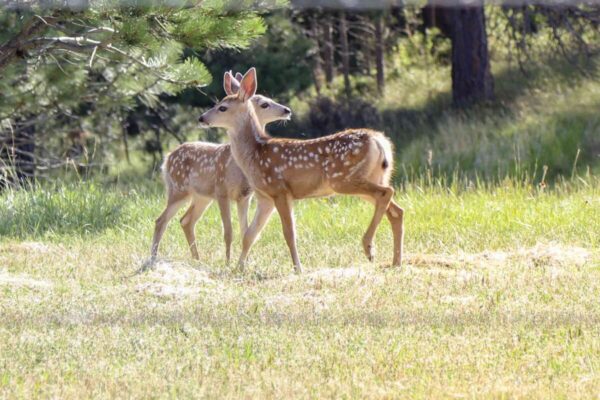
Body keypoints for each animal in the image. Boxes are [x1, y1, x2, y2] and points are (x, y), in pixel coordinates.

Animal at [149, 72, 290, 262]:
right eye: (264, 104)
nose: (287, 110)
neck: (235, 166)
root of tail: (167, 158)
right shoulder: (221, 190)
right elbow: (228, 232)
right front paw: (228, 262)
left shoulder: (244, 196)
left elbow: (244, 231)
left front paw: (245, 261)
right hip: (178, 190)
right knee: (161, 220)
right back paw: (153, 258)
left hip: (201, 197)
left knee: (186, 221)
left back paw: (197, 259)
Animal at [200, 69, 404, 276]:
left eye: (222, 108)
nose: (202, 118)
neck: (255, 154)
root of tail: (379, 141)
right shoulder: (265, 197)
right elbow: (250, 234)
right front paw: (239, 268)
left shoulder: (280, 190)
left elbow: (289, 233)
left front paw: (298, 268)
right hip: (373, 177)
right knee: (396, 210)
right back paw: (395, 262)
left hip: (343, 179)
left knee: (387, 193)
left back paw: (369, 247)